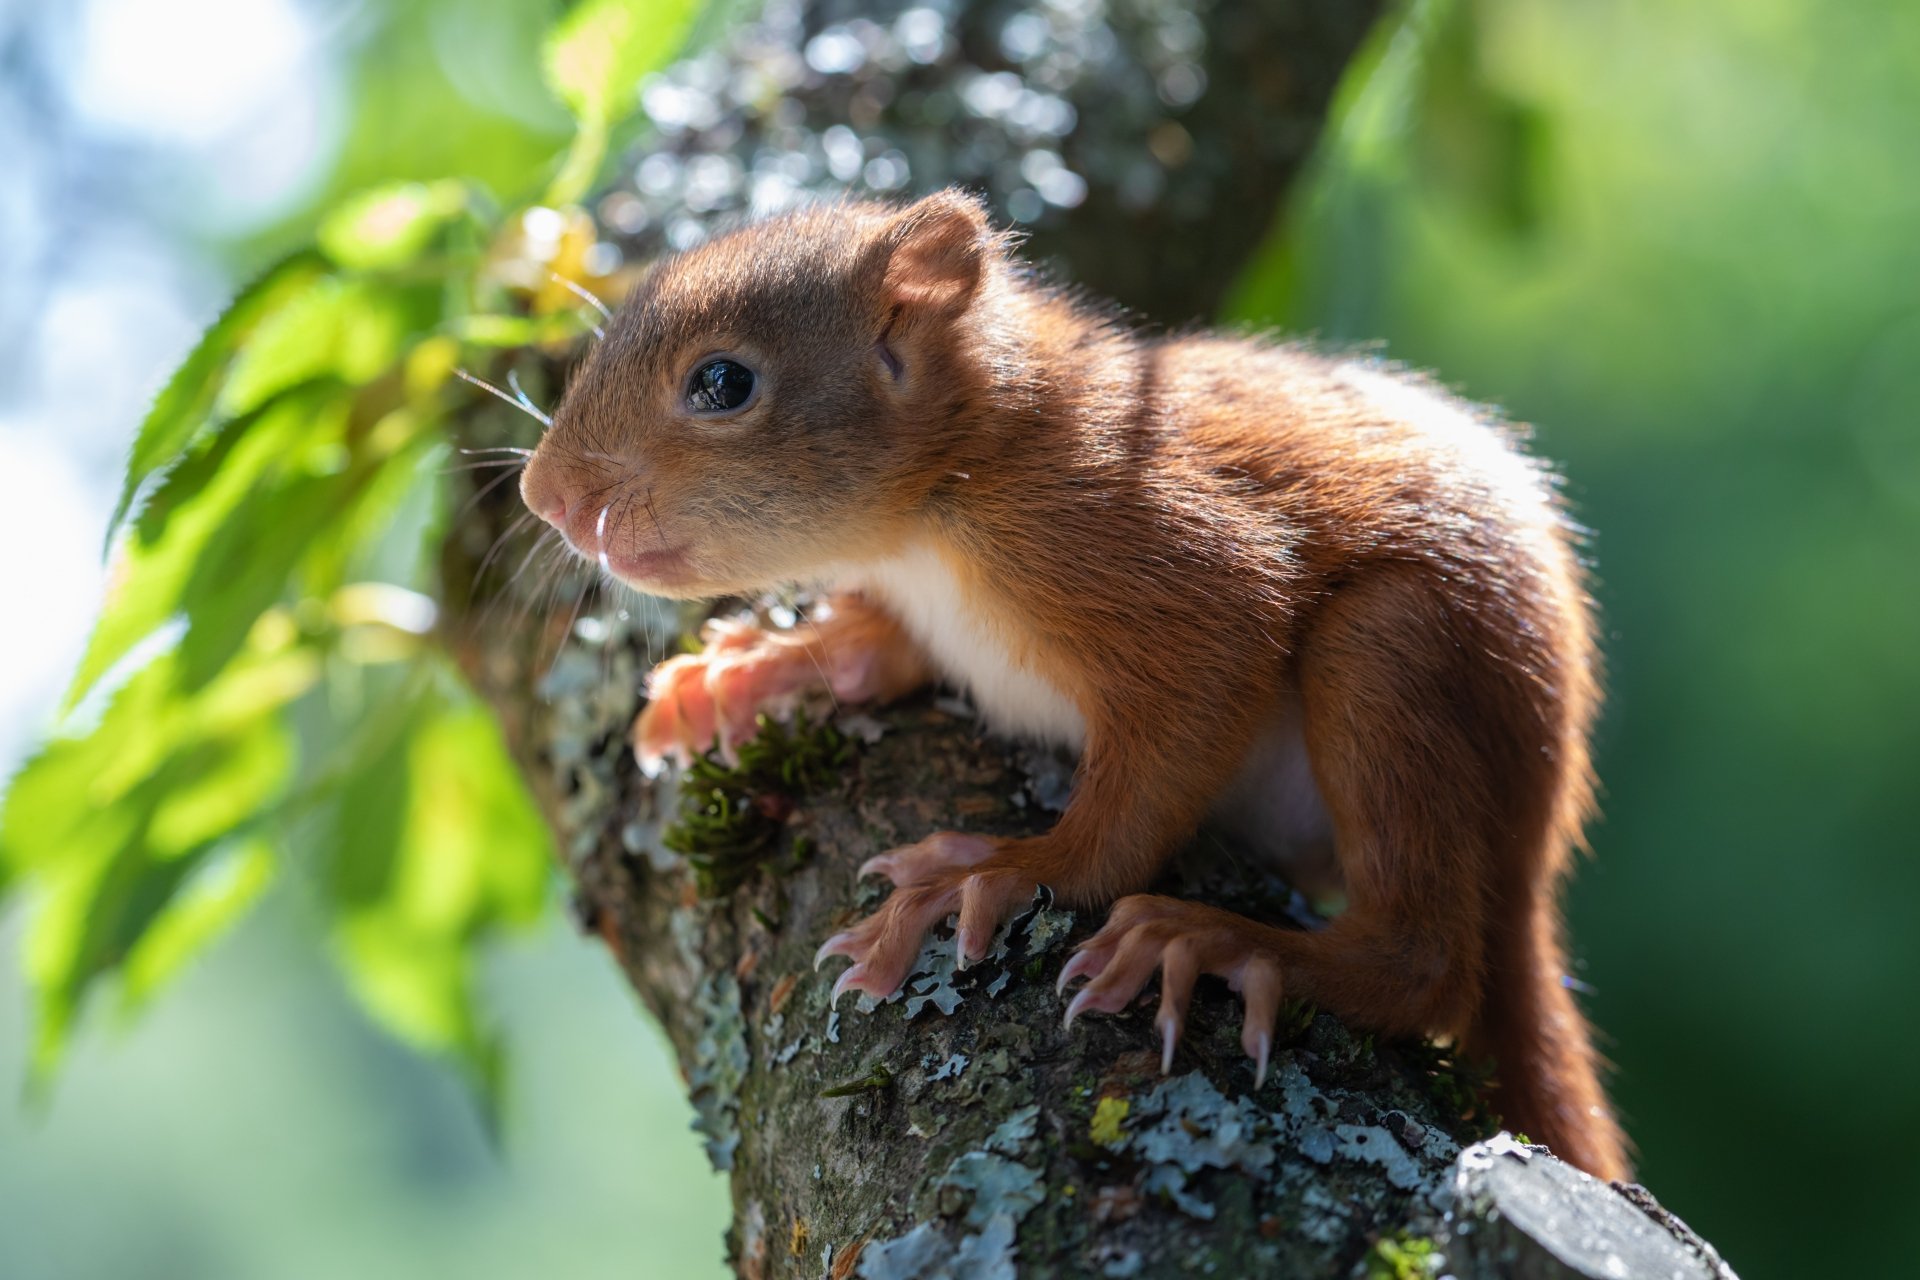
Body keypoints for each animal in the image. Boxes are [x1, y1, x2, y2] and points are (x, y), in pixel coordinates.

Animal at [517, 189, 1630, 1181]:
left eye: (721, 383)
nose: (543, 496)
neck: (945, 492)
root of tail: (1538, 834)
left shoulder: (1139, 540)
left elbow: (1176, 730)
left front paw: (1004, 869)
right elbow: (877, 652)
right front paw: (756, 666)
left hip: (1396, 655)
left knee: (1427, 963)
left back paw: (1226, 944)